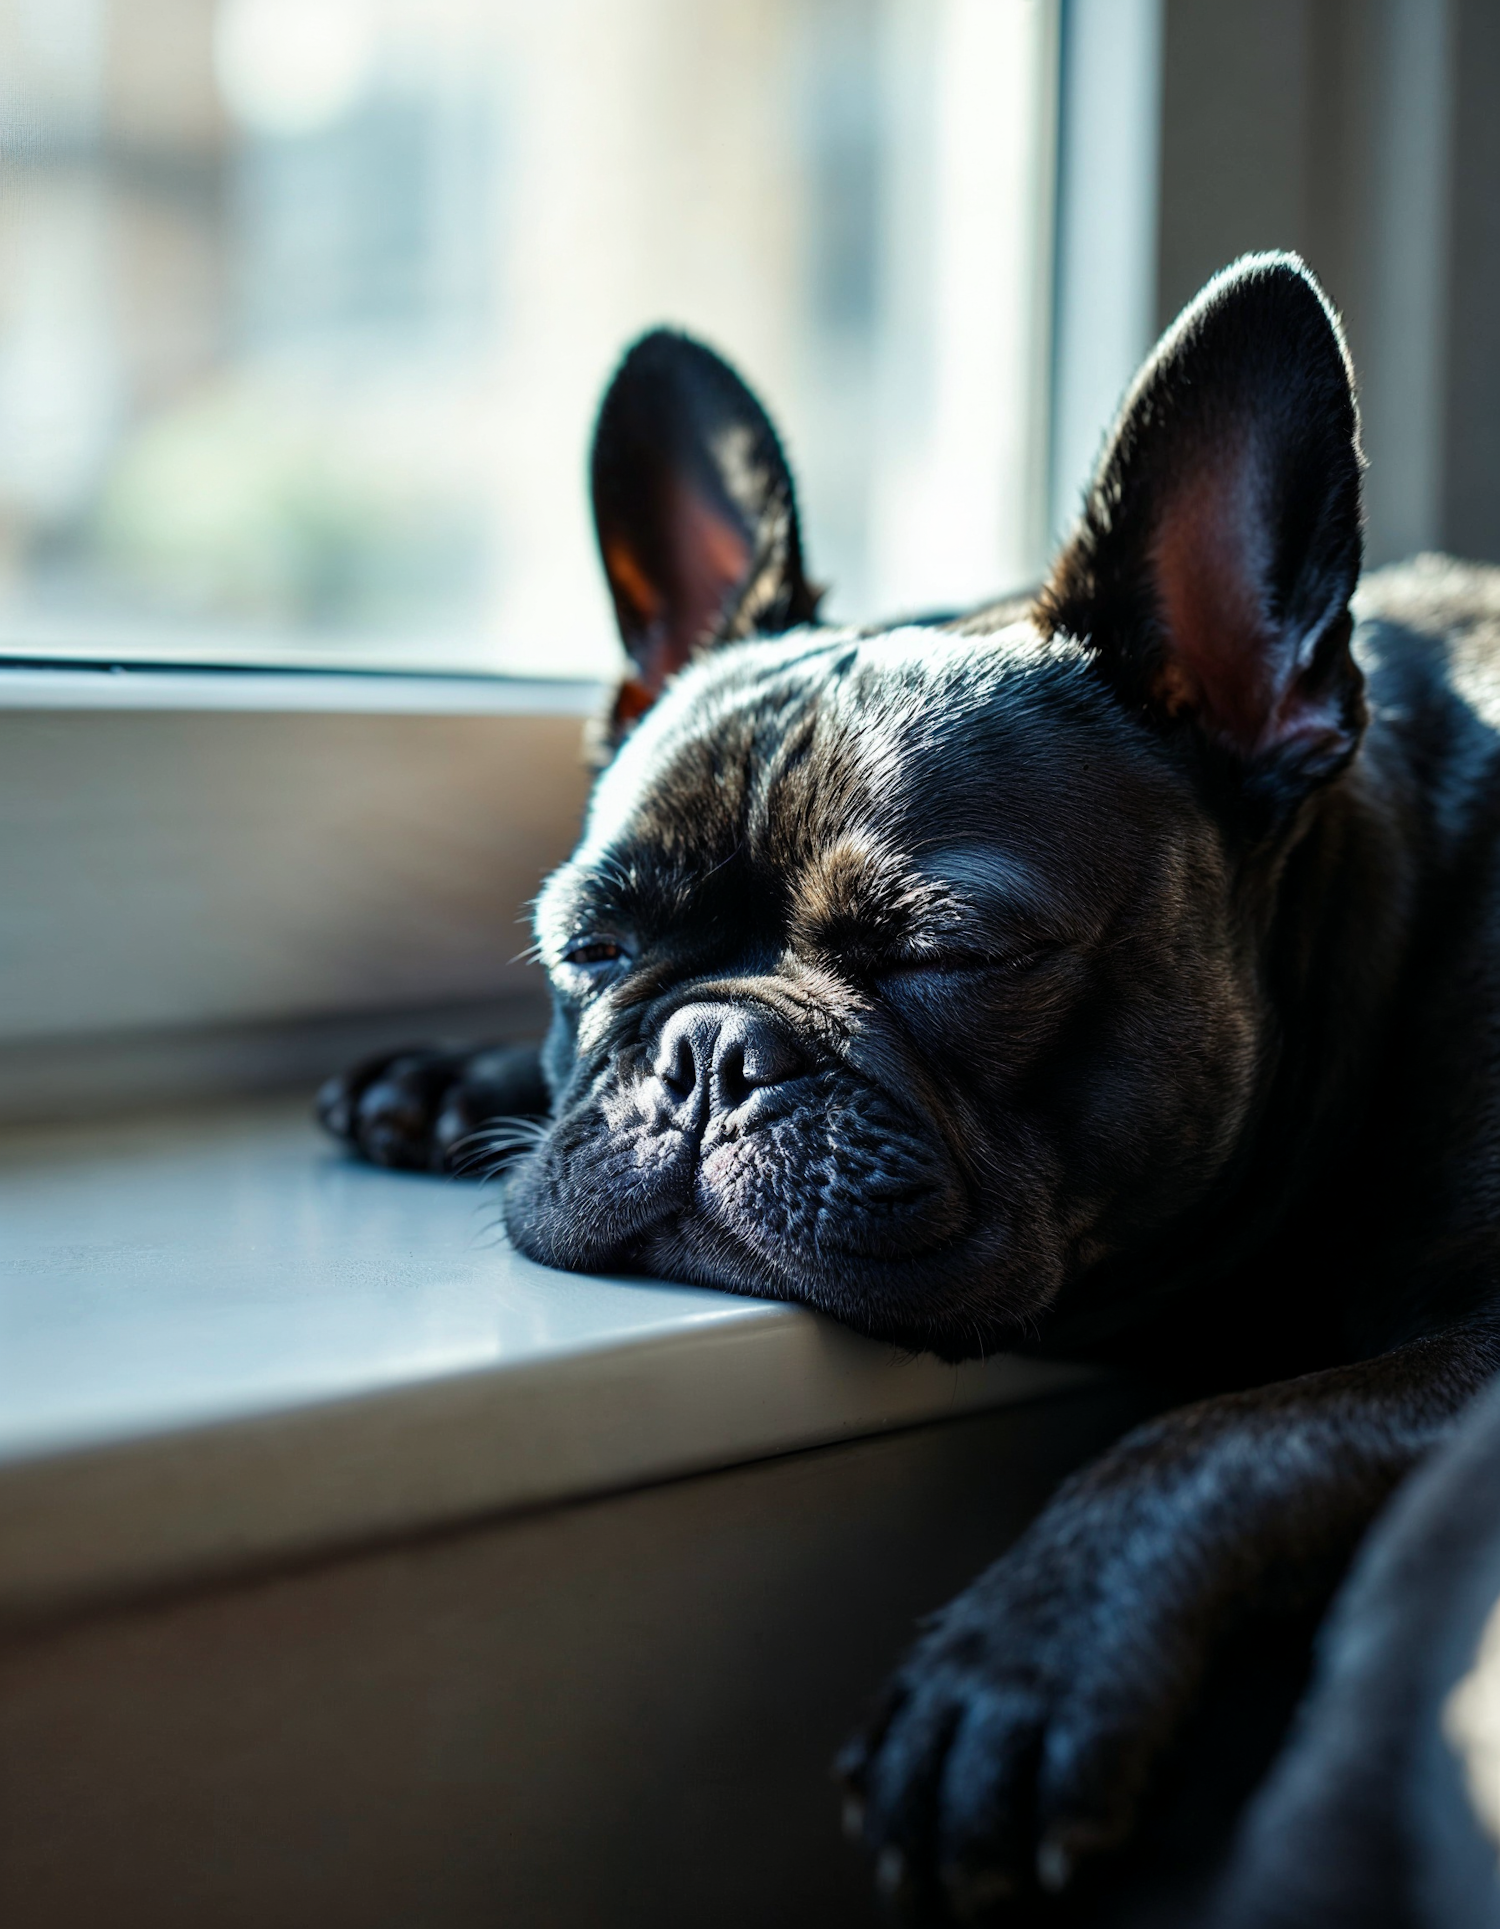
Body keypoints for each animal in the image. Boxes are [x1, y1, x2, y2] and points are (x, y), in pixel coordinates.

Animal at [321, 252, 1496, 1913]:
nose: (707, 1052)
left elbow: (1236, 1430)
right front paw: (455, 1079)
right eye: (589, 943)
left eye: (953, 953)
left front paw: (1027, 1663)